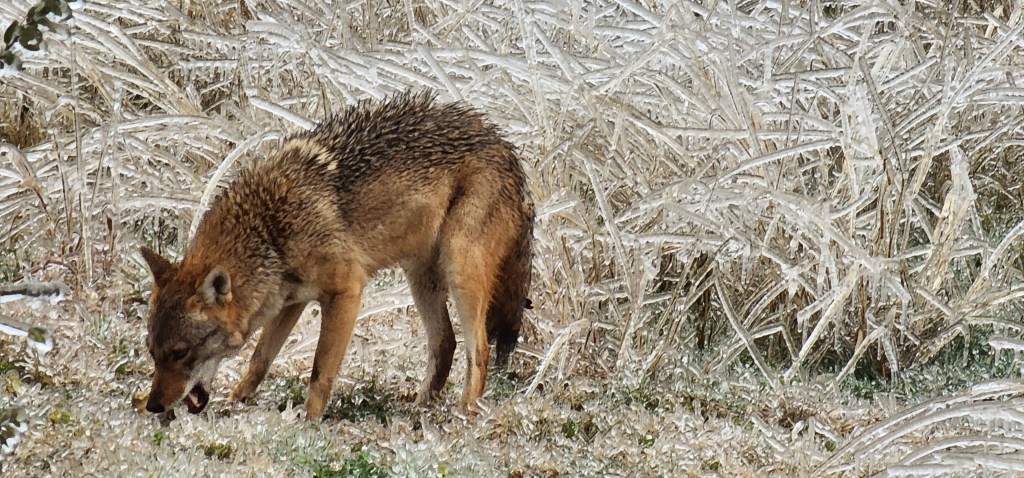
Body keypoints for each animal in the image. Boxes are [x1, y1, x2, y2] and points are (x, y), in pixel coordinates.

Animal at [139, 91, 533, 419]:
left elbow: (320, 371)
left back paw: (465, 414)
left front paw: (308, 422)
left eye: (180, 352)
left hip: (460, 271)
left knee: (478, 349)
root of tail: (505, 146)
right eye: (153, 353)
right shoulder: (291, 301)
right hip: (421, 278)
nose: (154, 406)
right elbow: (259, 359)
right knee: (445, 343)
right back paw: (421, 410)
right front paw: (237, 402)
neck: (269, 231)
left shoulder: (346, 292)